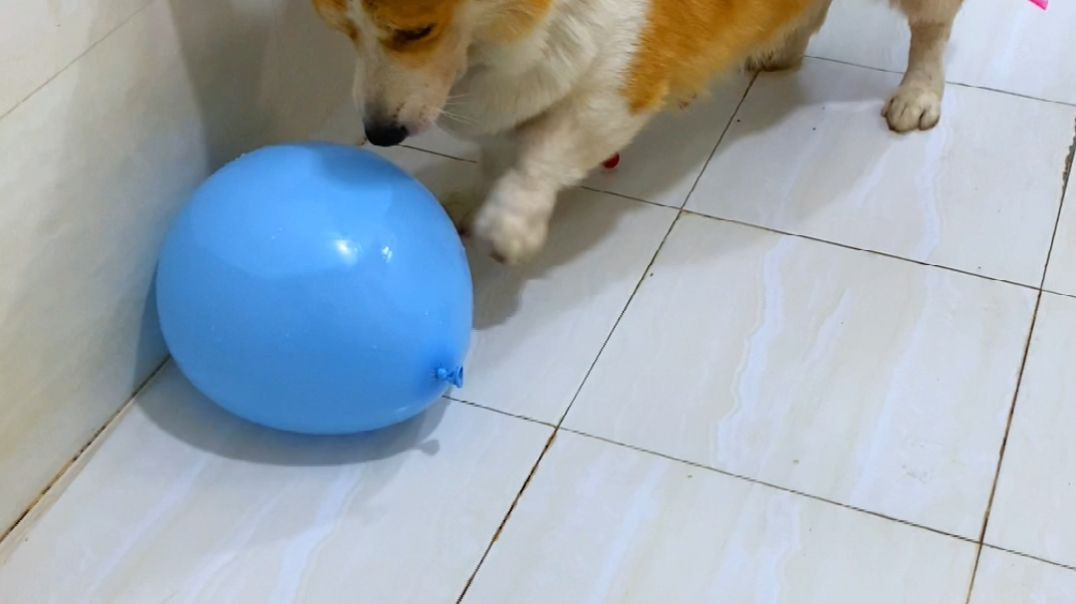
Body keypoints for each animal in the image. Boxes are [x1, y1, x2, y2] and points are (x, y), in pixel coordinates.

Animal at [312, 0, 968, 263]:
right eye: (339, 30)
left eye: (416, 31)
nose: (380, 134)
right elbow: (498, 156)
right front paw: (473, 200)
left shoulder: (619, 84)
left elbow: (543, 154)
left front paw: (511, 224)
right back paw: (779, 47)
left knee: (931, 30)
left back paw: (917, 95)